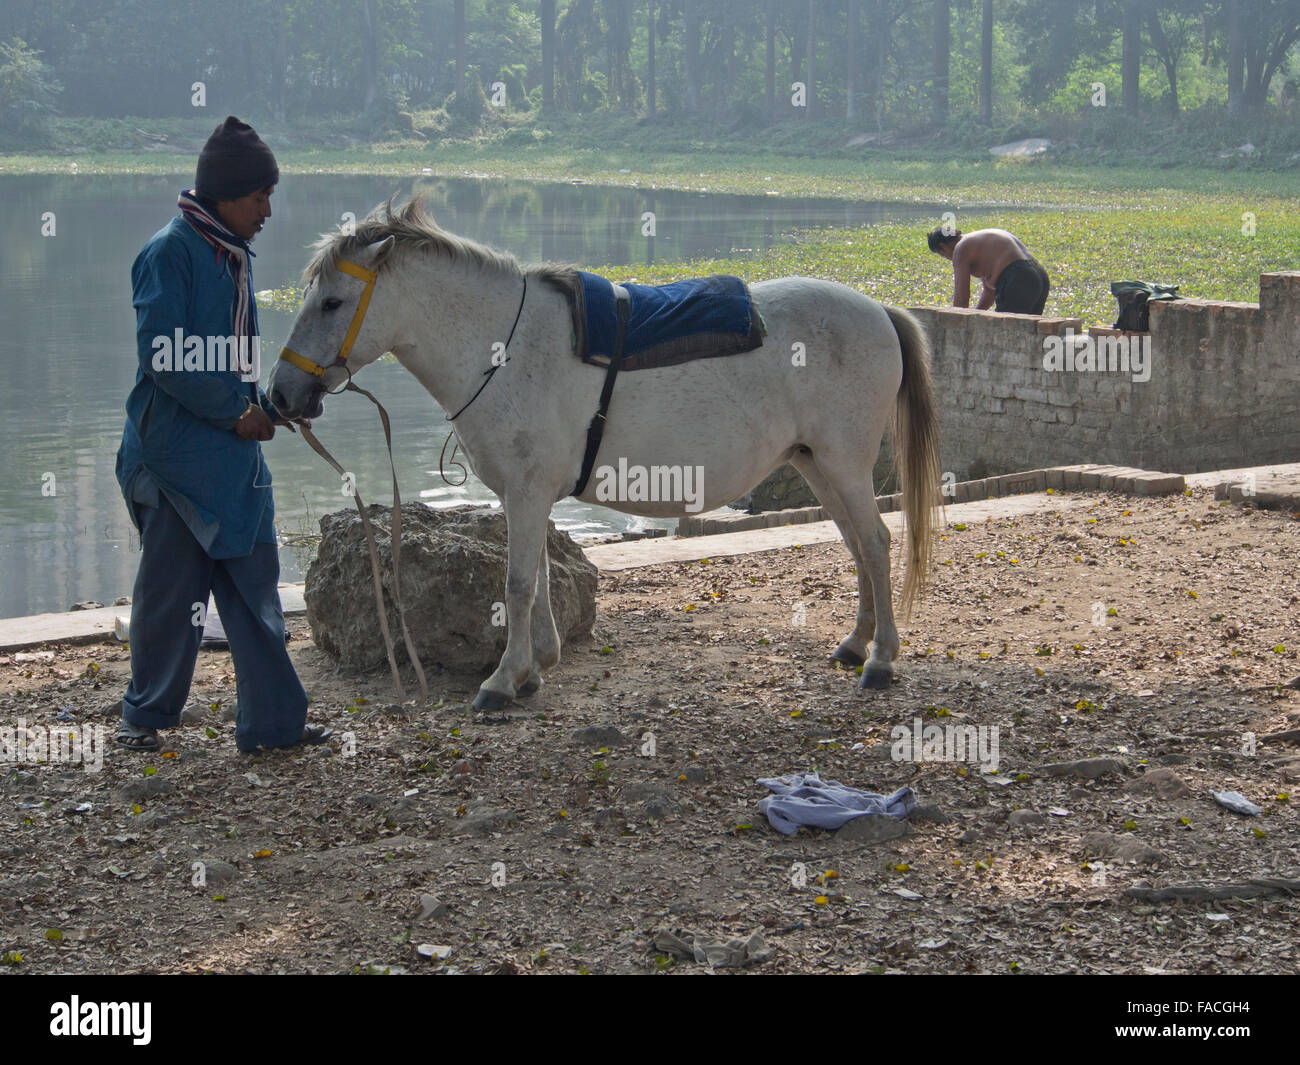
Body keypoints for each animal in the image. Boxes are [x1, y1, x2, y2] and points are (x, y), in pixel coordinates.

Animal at [269, 200, 941, 717]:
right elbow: (537, 578)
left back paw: (881, 660)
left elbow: (517, 583)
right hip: (815, 463)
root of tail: (881, 310)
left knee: (876, 542)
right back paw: (855, 643)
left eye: (332, 303)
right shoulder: (527, 495)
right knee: (857, 544)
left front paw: (502, 681)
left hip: (844, 462)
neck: (504, 347)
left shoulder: (525, 491)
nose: (280, 395)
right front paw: (534, 667)